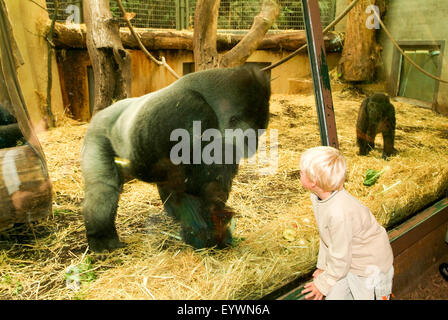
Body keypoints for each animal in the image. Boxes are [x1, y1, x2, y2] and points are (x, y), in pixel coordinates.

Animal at [82, 63, 272, 251]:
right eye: (251, 134)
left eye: (260, 131)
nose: (254, 145)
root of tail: (101, 112)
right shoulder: (189, 111)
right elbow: (185, 184)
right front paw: (206, 232)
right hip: (97, 132)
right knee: (102, 187)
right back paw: (102, 238)